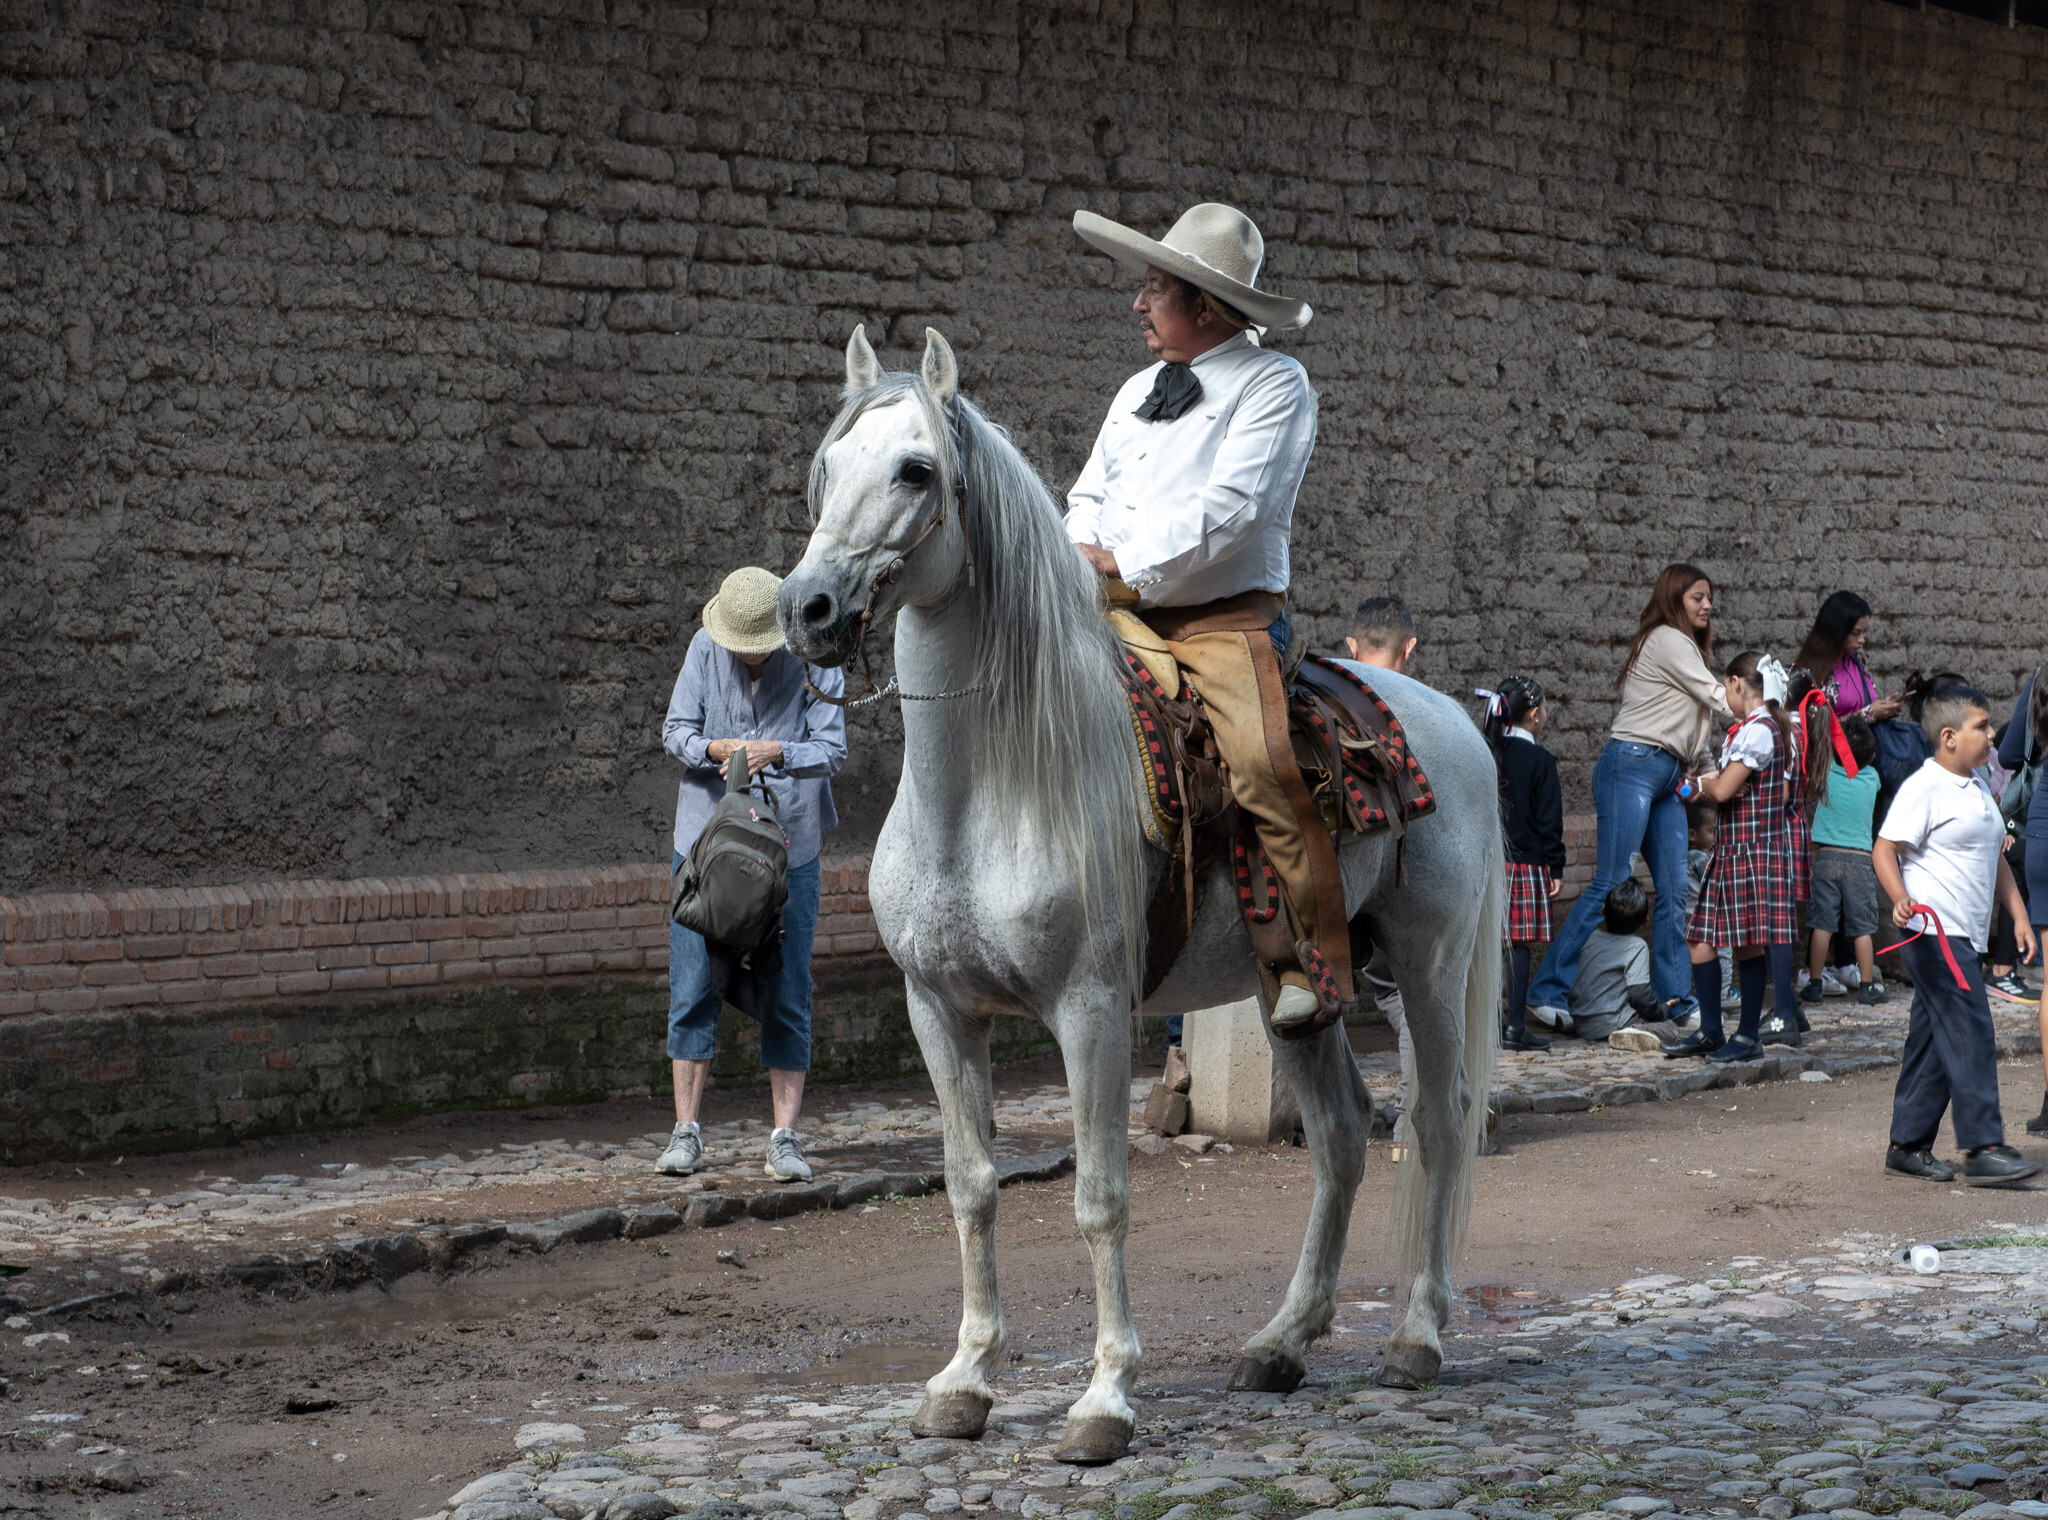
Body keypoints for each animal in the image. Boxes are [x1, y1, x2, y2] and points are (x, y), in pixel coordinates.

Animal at [777, 326, 1502, 1465]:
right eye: (826, 465)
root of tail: (1453, 721)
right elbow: (970, 1186)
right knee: (1342, 1133)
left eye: (915, 470)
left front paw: (1105, 1399)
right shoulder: (937, 1009)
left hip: (1428, 964)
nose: (804, 609)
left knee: (1436, 1119)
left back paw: (1418, 1337)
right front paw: (964, 1381)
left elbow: (1099, 1198)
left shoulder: (1089, 1010)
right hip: (1296, 992)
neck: (987, 789)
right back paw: (1281, 1343)